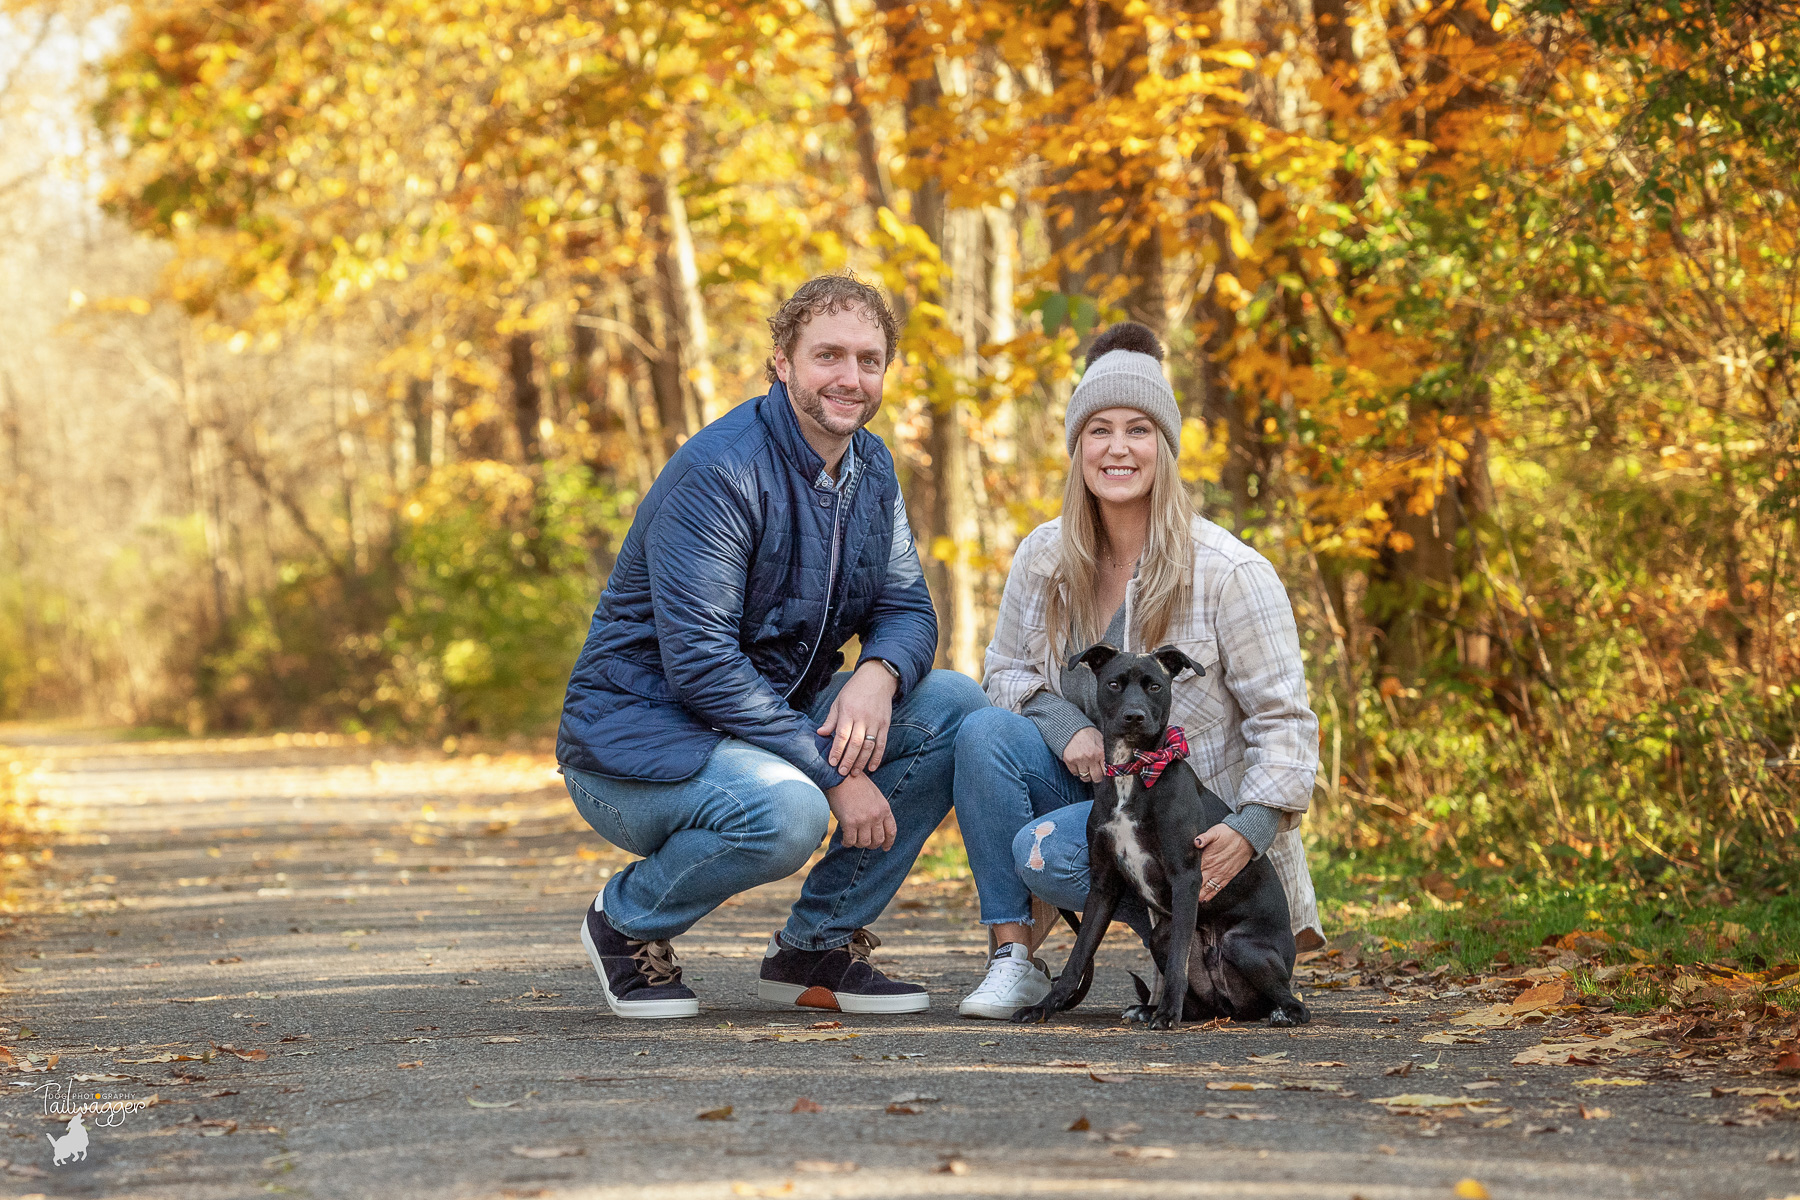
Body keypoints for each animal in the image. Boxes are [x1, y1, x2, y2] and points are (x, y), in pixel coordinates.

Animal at [1015, 647, 1310, 1036]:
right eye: (1114, 684)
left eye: (1155, 685)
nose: (1134, 717)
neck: (1132, 771)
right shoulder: (1103, 886)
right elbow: (1078, 957)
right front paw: (1044, 1007)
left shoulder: (1186, 877)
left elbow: (1175, 967)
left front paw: (1168, 1013)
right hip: (1161, 937)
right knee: (1203, 1002)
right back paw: (1148, 1008)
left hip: (1241, 944)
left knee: (1294, 1003)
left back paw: (1280, 1013)